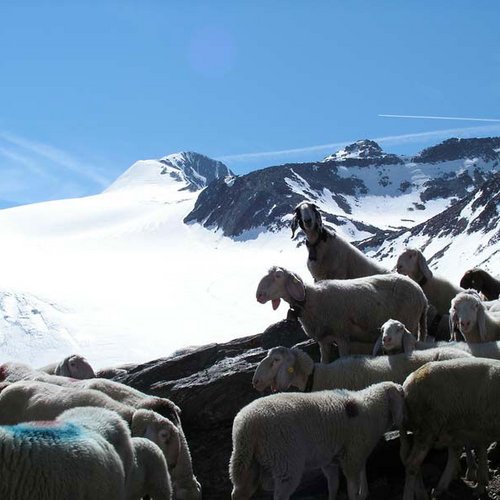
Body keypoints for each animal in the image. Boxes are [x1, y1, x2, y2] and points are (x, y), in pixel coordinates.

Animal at [229, 380, 404, 498]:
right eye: (401, 394)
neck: (372, 408)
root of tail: (246, 425)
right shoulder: (353, 454)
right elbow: (352, 486)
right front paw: (359, 494)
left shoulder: (335, 458)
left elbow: (335, 484)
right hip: (285, 461)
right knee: (280, 494)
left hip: (247, 462)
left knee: (239, 492)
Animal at [256, 266, 428, 360]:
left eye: (278, 275)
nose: (259, 295)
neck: (311, 299)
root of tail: (422, 294)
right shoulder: (323, 340)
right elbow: (324, 362)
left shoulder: (342, 336)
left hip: (410, 322)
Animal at [400, 358, 500, 498]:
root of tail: (407, 383)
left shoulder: (480, 431)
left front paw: (481, 484)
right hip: (428, 427)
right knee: (412, 465)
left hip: (448, 428)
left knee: (452, 453)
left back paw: (434, 489)